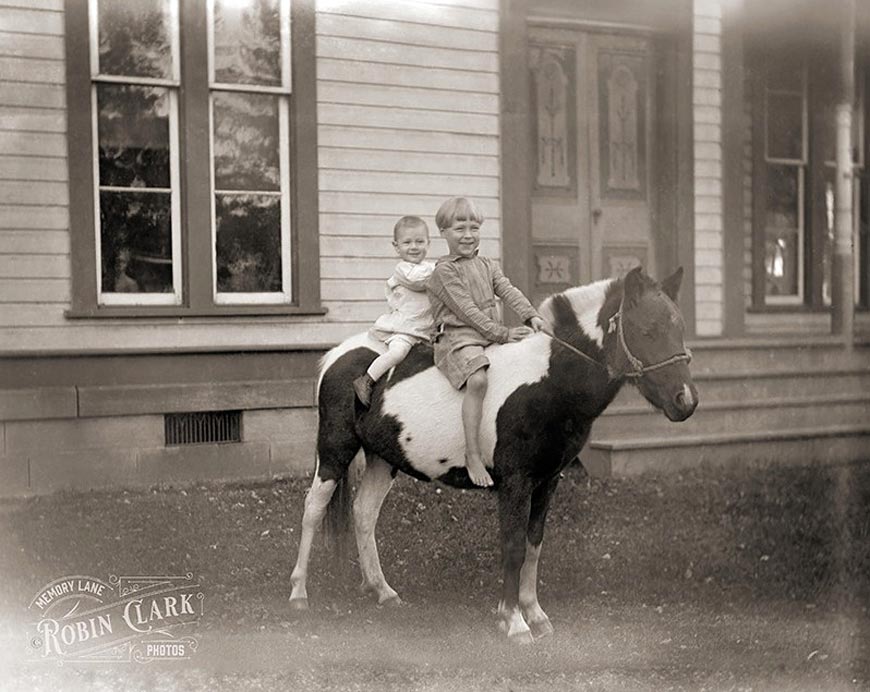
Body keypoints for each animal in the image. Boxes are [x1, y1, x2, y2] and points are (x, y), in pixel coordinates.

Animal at [290, 268, 700, 644]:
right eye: (647, 330)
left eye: (679, 327)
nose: (687, 401)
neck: (546, 380)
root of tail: (337, 356)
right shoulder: (515, 483)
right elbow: (514, 547)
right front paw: (514, 623)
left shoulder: (548, 481)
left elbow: (534, 546)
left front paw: (535, 615)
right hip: (334, 451)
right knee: (313, 509)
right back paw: (298, 593)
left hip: (382, 459)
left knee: (364, 514)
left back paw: (383, 591)